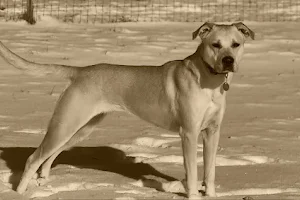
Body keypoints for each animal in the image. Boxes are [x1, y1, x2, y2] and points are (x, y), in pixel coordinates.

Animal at [0, 21, 254, 198]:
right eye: (215, 45)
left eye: (236, 44)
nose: (228, 60)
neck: (210, 81)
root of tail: (80, 71)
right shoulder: (189, 133)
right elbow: (192, 174)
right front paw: (193, 196)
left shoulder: (212, 132)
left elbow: (210, 172)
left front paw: (211, 195)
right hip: (66, 124)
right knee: (33, 158)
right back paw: (20, 192)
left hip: (80, 128)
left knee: (50, 156)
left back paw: (43, 181)